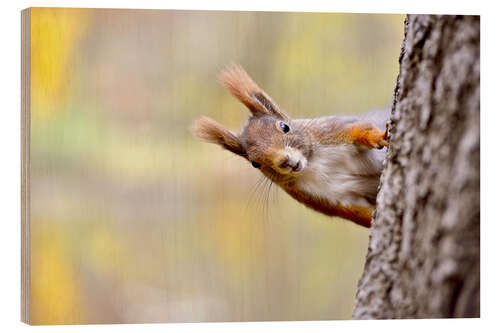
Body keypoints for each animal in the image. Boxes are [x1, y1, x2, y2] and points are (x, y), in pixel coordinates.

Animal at [191, 63, 390, 227]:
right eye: (255, 163)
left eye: (285, 127)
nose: (284, 161)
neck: (313, 164)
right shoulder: (325, 200)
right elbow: (357, 213)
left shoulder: (330, 131)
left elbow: (359, 129)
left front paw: (378, 136)